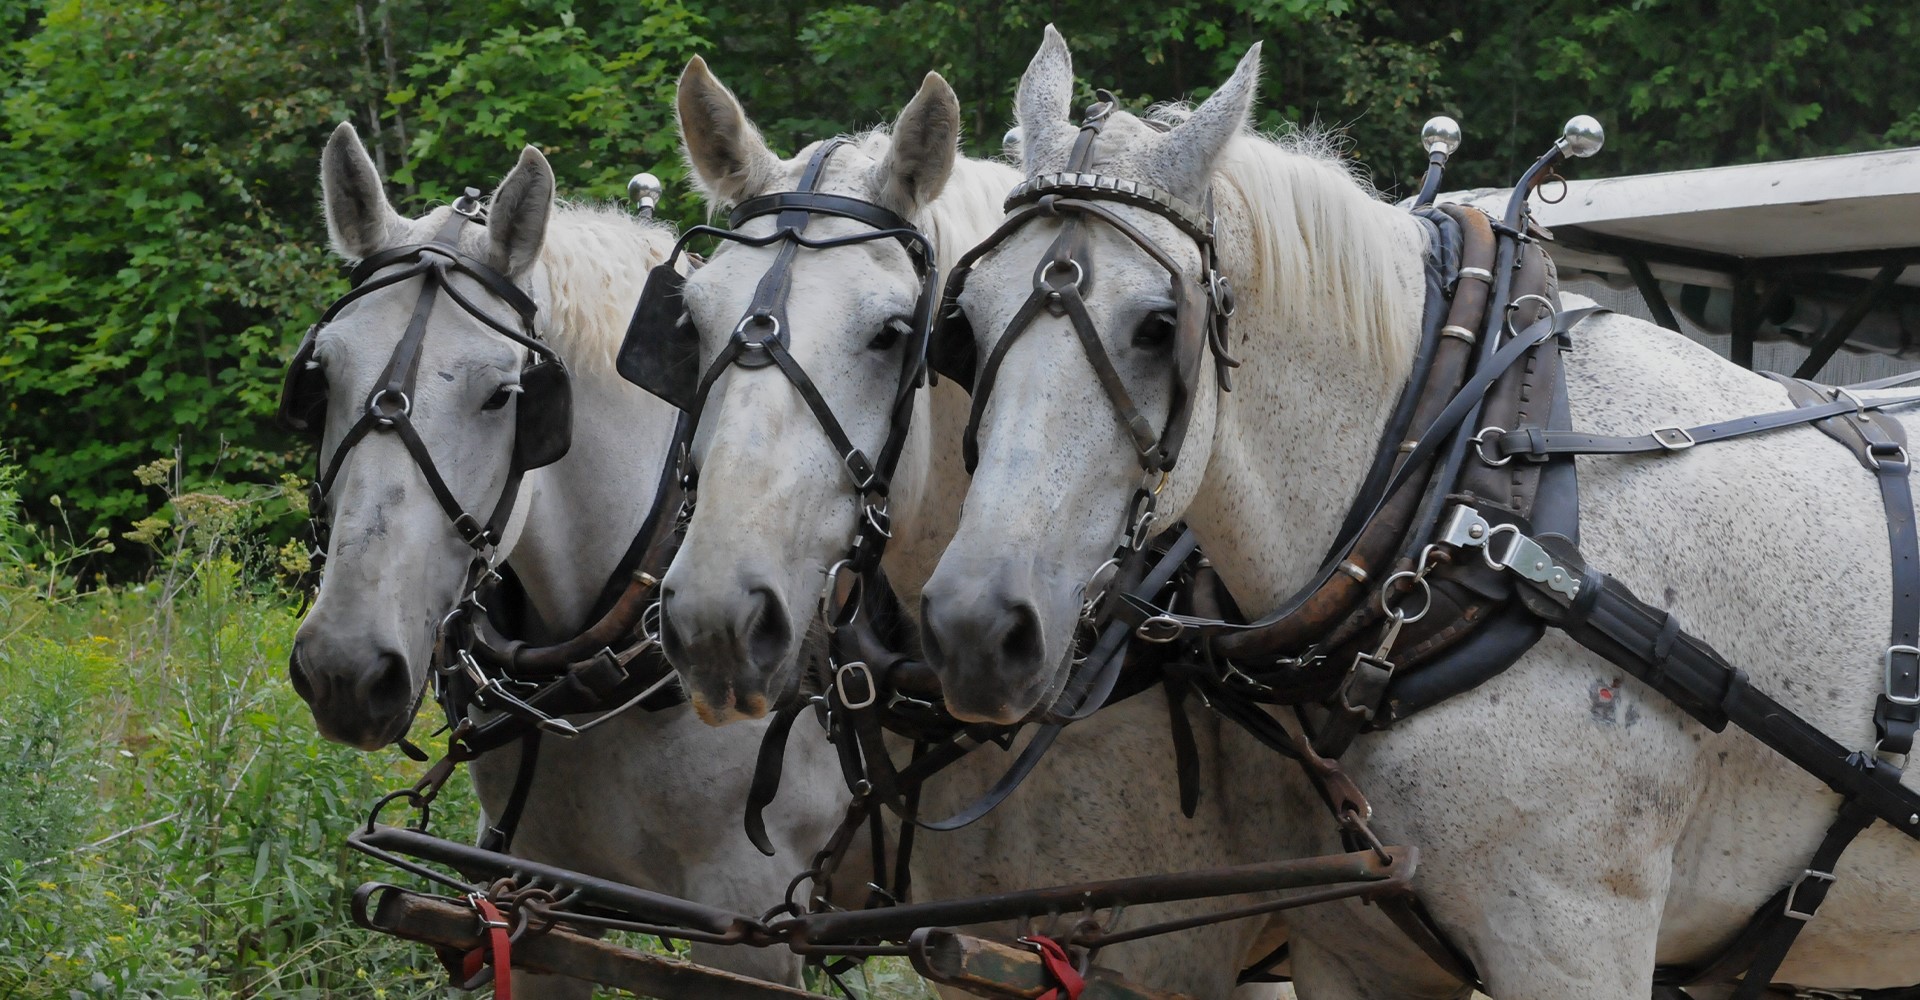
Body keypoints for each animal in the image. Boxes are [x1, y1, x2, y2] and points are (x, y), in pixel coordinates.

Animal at [921, 23, 1920, 998]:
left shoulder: (1575, 939)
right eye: (961, 326)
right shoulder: (1353, 946)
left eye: (1160, 326)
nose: (976, 630)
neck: (1477, 513)